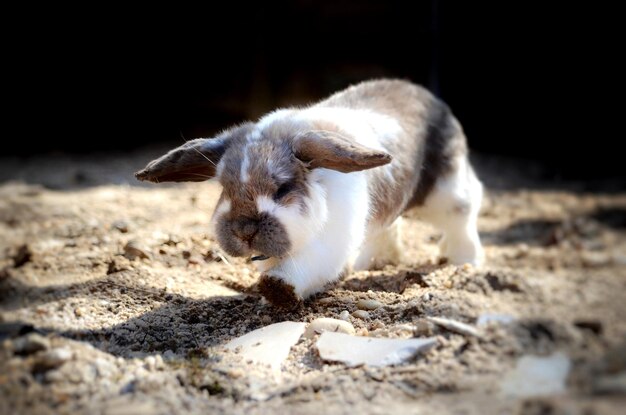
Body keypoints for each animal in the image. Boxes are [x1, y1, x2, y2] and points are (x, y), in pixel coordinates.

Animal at [136, 79, 486, 308]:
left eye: (282, 188)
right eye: (225, 188)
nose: (244, 230)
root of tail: (431, 98)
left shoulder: (329, 245)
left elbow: (301, 269)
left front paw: (277, 290)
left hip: (449, 193)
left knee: (464, 217)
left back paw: (464, 261)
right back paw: (373, 262)